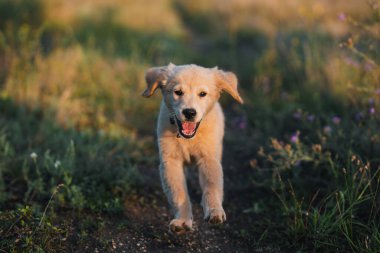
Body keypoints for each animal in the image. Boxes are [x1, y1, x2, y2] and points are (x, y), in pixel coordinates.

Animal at [142, 63, 243, 235]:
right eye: (178, 92)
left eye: (202, 94)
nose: (189, 112)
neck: (188, 139)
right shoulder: (171, 161)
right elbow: (179, 193)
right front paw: (183, 221)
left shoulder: (209, 159)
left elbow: (212, 186)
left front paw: (214, 211)